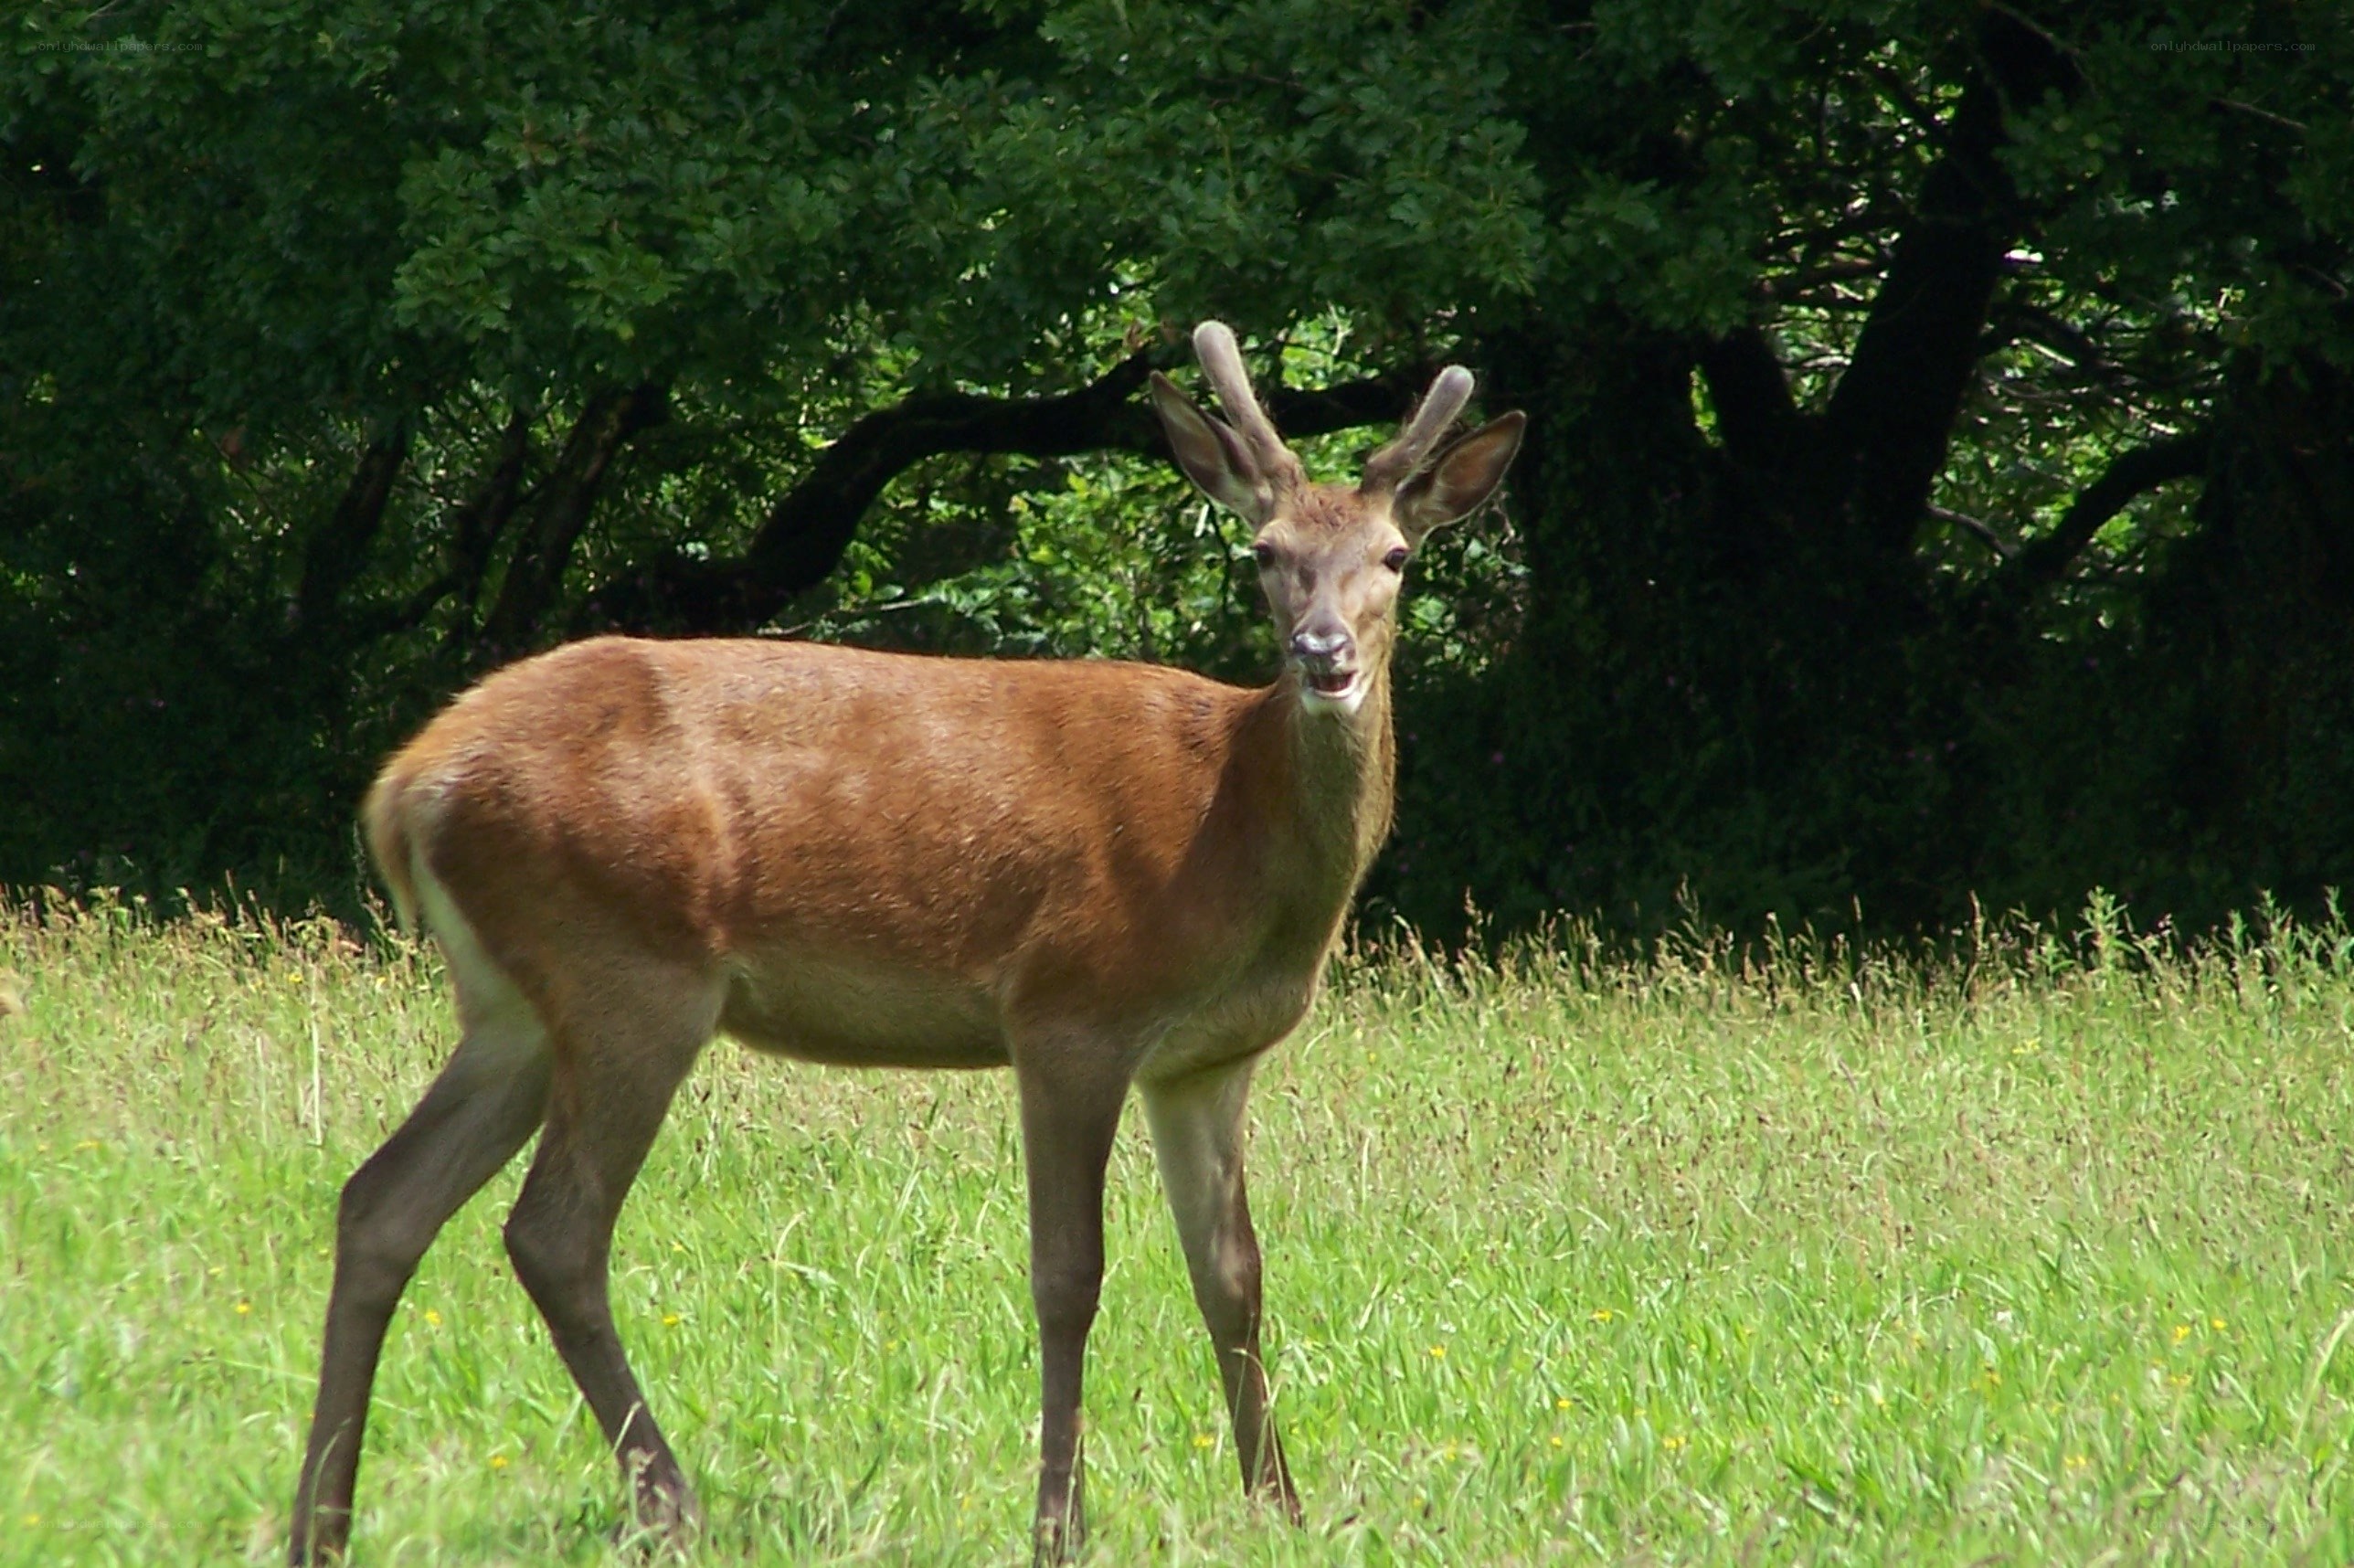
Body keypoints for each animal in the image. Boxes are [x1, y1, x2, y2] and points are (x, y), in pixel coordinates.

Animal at [287, 321, 1523, 1565]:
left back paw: (322, 1523)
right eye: (1264, 553)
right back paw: (669, 1502)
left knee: (380, 1201)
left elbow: (1231, 1274)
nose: (1323, 652)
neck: (1231, 824)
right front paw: (1059, 1523)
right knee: (552, 1233)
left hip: (511, 1006)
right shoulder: (1070, 1006)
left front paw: (1280, 1508)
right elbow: (1068, 1273)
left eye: (1395, 556)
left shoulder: (1205, 1061)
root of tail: (405, 786)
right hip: (625, 966)